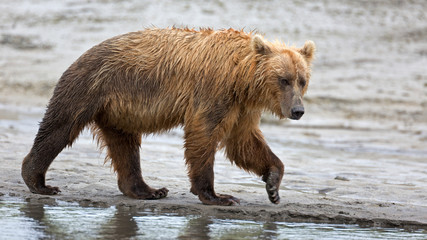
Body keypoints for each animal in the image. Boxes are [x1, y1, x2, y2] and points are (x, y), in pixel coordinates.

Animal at [21, 27, 314, 205]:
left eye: (302, 80)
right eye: (283, 79)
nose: (298, 111)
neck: (241, 79)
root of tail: (82, 54)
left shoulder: (242, 108)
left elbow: (242, 143)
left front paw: (273, 186)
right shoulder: (214, 93)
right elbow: (203, 134)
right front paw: (217, 195)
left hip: (118, 111)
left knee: (125, 146)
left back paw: (148, 190)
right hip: (90, 86)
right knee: (60, 127)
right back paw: (39, 181)